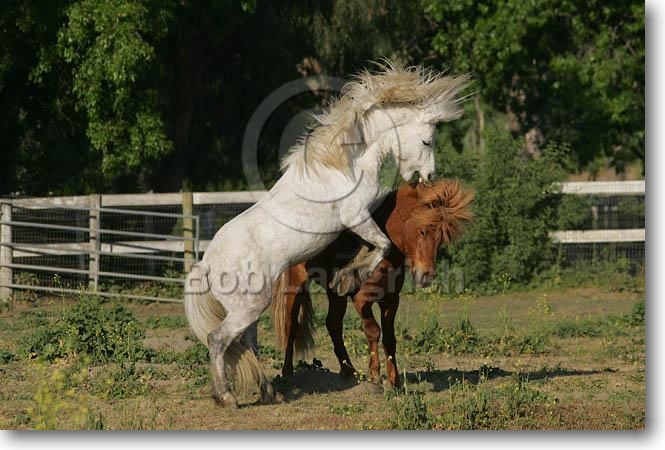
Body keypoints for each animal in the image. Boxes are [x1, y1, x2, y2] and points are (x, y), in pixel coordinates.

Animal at [272, 179, 474, 388]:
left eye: (441, 237)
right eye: (422, 230)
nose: (426, 276)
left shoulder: (391, 300)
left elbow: (390, 338)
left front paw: (394, 381)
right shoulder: (362, 300)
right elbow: (373, 332)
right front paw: (375, 374)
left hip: (335, 292)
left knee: (333, 324)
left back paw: (349, 371)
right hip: (295, 284)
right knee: (291, 326)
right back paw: (287, 374)